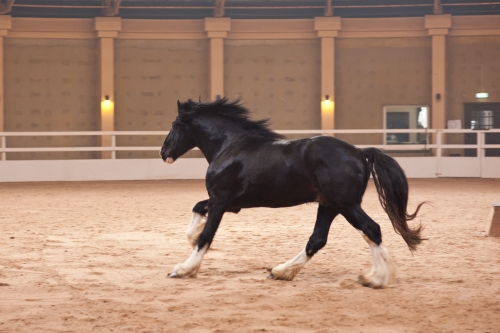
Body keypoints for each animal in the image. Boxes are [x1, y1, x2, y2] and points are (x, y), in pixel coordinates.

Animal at [159, 96, 422, 288]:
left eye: (174, 125)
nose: (164, 153)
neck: (230, 145)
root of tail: (360, 152)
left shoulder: (220, 201)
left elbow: (207, 235)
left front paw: (183, 269)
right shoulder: (231, 204)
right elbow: (197, 209)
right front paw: (191, 237)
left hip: (345, 205)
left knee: (371, 229)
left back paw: (377, 278)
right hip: (329, 205)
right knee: (318, 239)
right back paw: (280, 271)